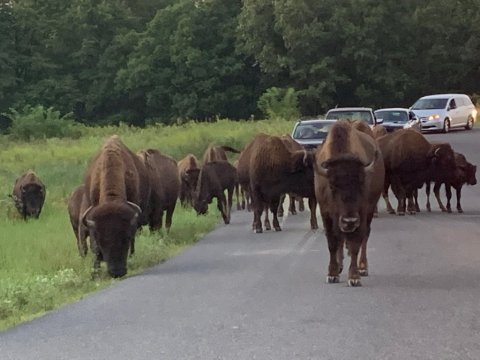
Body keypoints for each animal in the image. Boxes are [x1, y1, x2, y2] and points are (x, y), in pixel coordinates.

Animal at [314, 121, 384, 286]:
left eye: (361, 184)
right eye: (332, 185)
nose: (349, 221)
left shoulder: (362, 213)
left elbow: (355, 244)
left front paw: (354, 276)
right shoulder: (326, 213)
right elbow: (332, 242)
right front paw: (332, 274)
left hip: (369, 212)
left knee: (365, 236)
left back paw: (363, 267)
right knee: (341, 238)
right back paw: (340, 265)